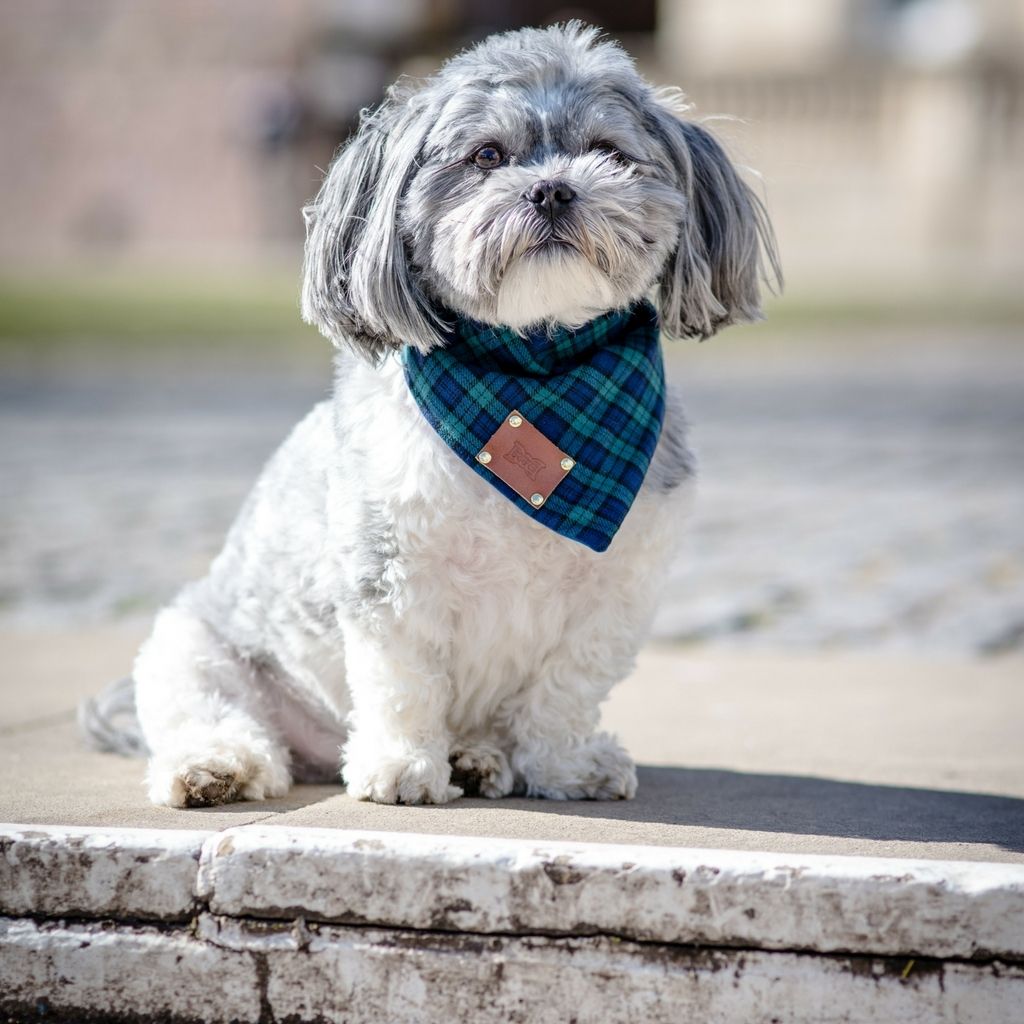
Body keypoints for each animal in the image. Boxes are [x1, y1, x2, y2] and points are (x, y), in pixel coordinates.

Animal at [83, 22, 778, 806]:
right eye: (487, 156)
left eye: (607, 150)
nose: (552, 188)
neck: (532, 375)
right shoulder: (390, 574)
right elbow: (403, 684)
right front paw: (403, 768)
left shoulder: (616, 591)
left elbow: (566, 691)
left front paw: (569, 766)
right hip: (194, 649)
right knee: (211, 714)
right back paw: (217, 767)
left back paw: (480, 757)